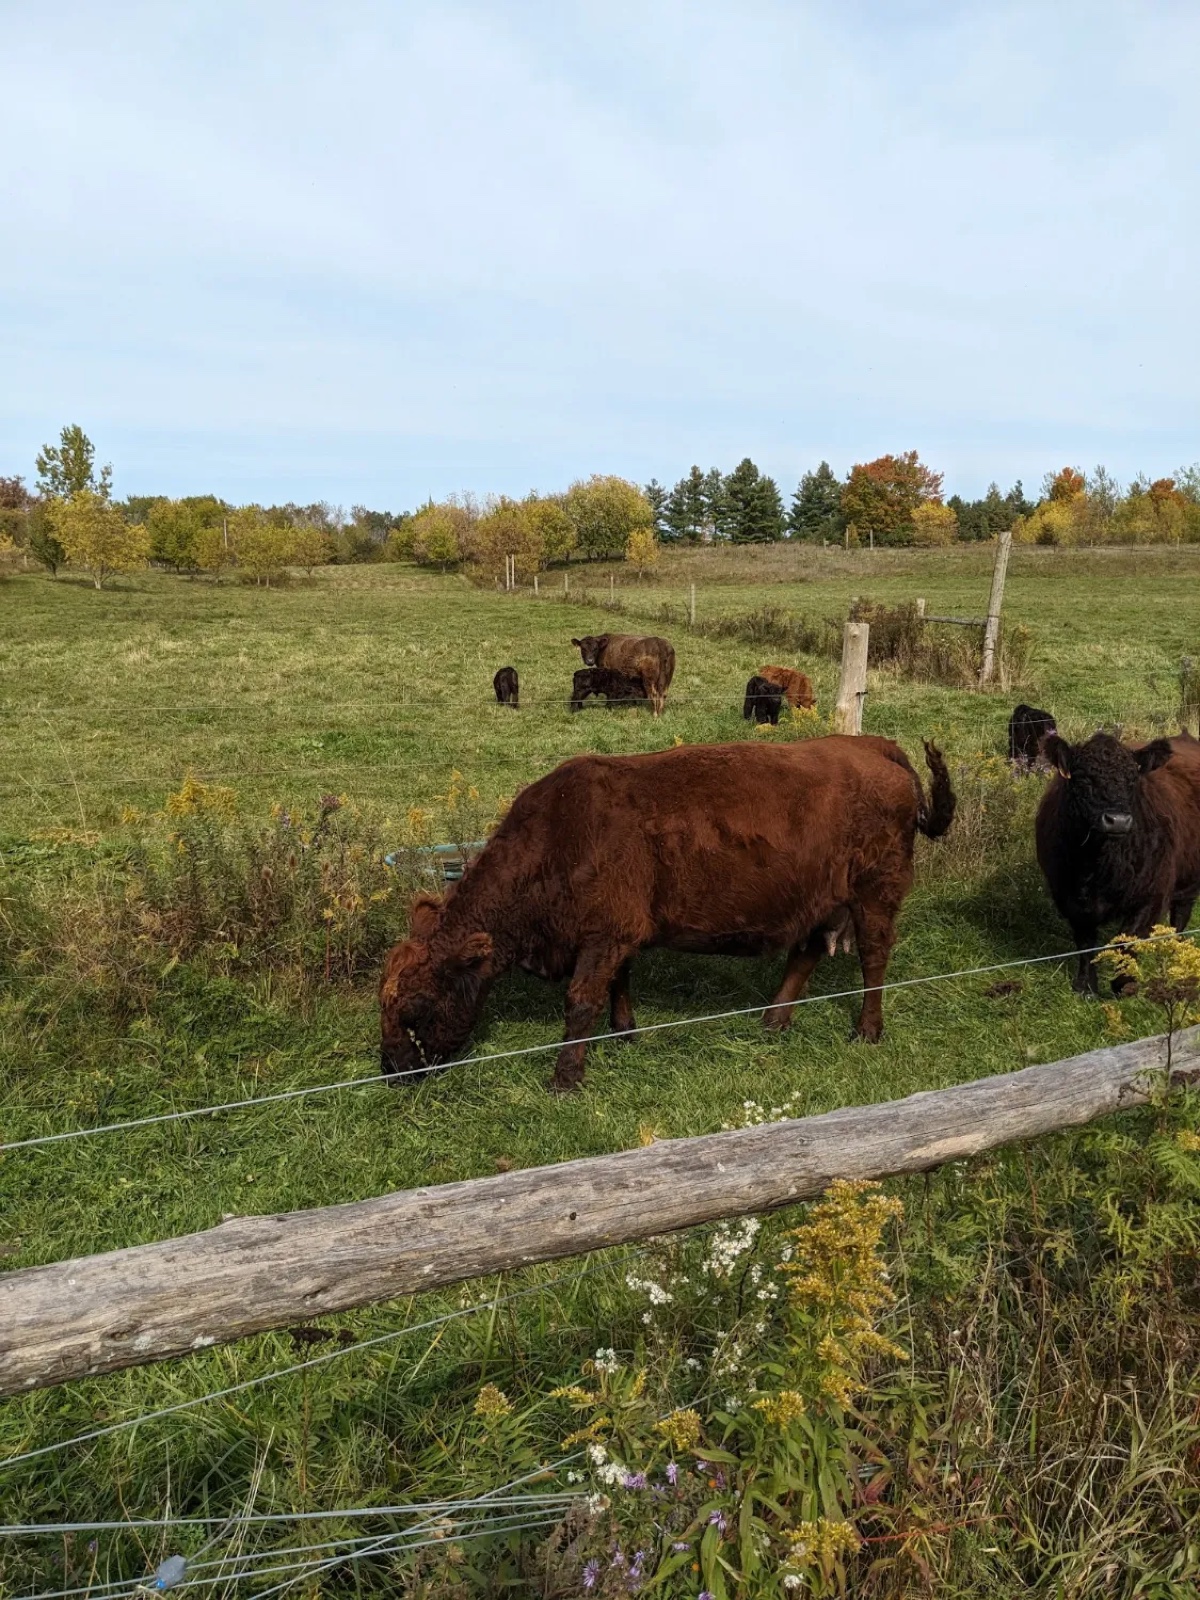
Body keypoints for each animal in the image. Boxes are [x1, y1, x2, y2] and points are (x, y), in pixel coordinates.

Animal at [379, 735, 955, 1090]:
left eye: (415, 1007)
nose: (390, 1071)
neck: (561, 836)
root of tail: (871, 745)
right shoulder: (614, 935)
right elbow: (617, 985)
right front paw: (624, 1032)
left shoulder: (604, 935)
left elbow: (580, 1001)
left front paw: (566, 1077)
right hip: (822, 898)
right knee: (808, 950)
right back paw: (774, 1020)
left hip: (875, 891)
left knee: (875, 956)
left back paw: (867, 1029)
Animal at [1035, 731, 1200, 994]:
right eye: (1084, 779)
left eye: (1132, 780)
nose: (1118, 820)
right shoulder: (1067, 896)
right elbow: (1085, 942)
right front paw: (1086, 986)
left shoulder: (1151, 894)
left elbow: (1128, 938)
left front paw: (1125, 982)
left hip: (1189, 879)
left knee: (1180, 916)